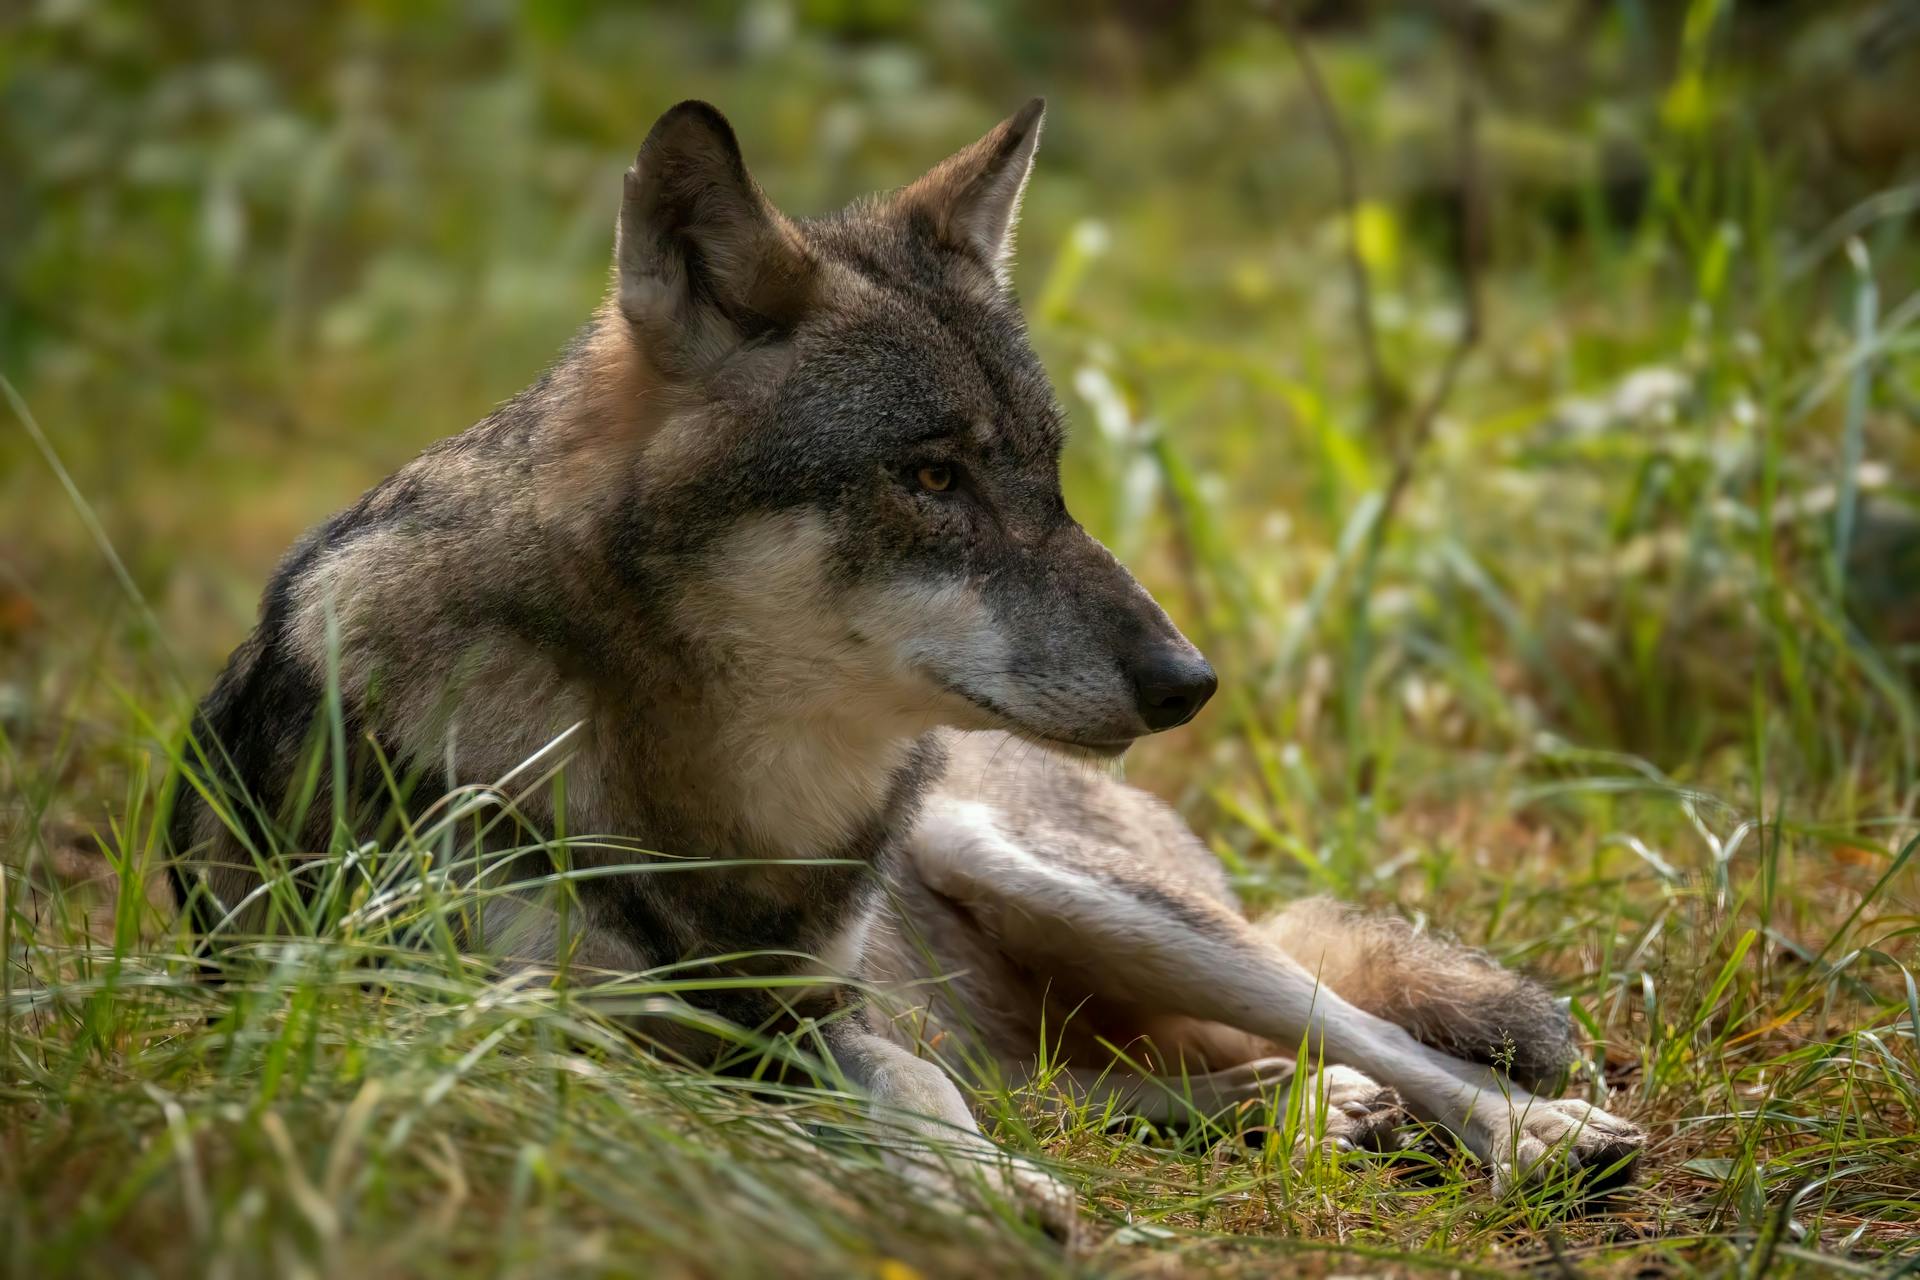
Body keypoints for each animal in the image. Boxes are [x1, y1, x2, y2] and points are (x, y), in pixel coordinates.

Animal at [161, 100, 1635, 1228]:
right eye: (932, 477)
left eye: (1049, 478)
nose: (1189, 680)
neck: (715, 787)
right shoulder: (533, 1041)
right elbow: (835, 1111)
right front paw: (983, 1191)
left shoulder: (821, 1013)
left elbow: (911, 1092)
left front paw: (985, 1187)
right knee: (1097, 1085)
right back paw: (1303, 1111)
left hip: (1053, 878)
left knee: (1350, 1022)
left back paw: (1523, 1129)